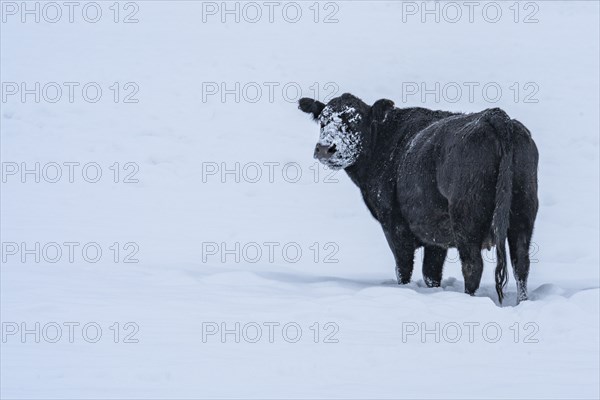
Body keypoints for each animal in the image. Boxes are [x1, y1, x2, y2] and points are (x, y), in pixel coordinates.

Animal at [300, 93, 540, 304]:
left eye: (355, 122)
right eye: (323, 121)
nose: (325, 148)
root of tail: (496, 116)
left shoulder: (394, 225)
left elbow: (404, 267)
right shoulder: (435, 235)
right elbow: (431, 273)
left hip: (466, 218)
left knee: (473, 265)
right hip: (523, 212)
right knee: (521, 263)